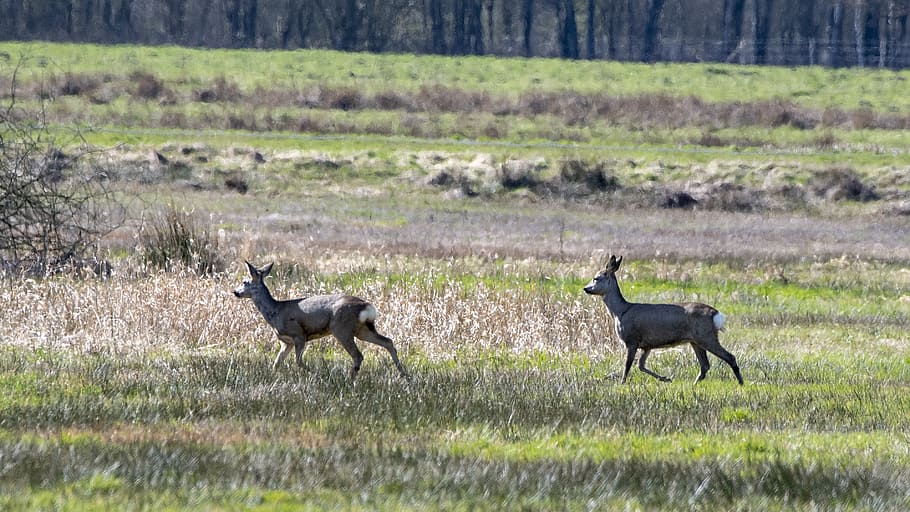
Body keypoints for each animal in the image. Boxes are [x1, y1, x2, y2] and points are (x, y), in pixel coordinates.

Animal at [233, 261, 408, 379]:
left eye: (244, 281)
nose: (235, 292)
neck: (275, 312)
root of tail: (367, 306)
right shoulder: (286, 342)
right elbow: (276, 363)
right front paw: (273, 376)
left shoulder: (299, 334)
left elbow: (299, 362)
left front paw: (318, 374)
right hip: (362, 329)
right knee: (388, 341)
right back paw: (404, 374)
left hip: (341, 328)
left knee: (358, 355)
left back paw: (349, 379)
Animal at [583, 255, 743, 385]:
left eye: (596, 278)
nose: (586, 288)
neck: (620, 312)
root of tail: (716, 314)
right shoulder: (647, 345)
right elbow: (640, 365)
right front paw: (666, 378)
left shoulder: (632, 340)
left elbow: (627, 366)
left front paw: (622, 383)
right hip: (695, 340)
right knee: (705, 365)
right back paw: (694, 384)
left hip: (706, 335)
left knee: (730, 357)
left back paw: (741, 383)